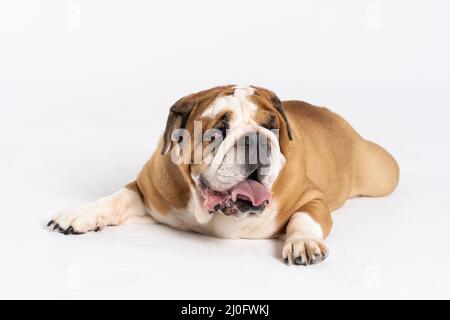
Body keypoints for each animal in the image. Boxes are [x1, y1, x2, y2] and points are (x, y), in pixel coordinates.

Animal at [48, 85, 398, 264]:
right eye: (217, 131)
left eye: (271, 126)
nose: (256, 138)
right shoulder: (148, 191)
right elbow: (115, 199)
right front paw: (78, 215)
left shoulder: (311, 198)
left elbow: (304, 218)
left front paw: (303, 244)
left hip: (382, 174)